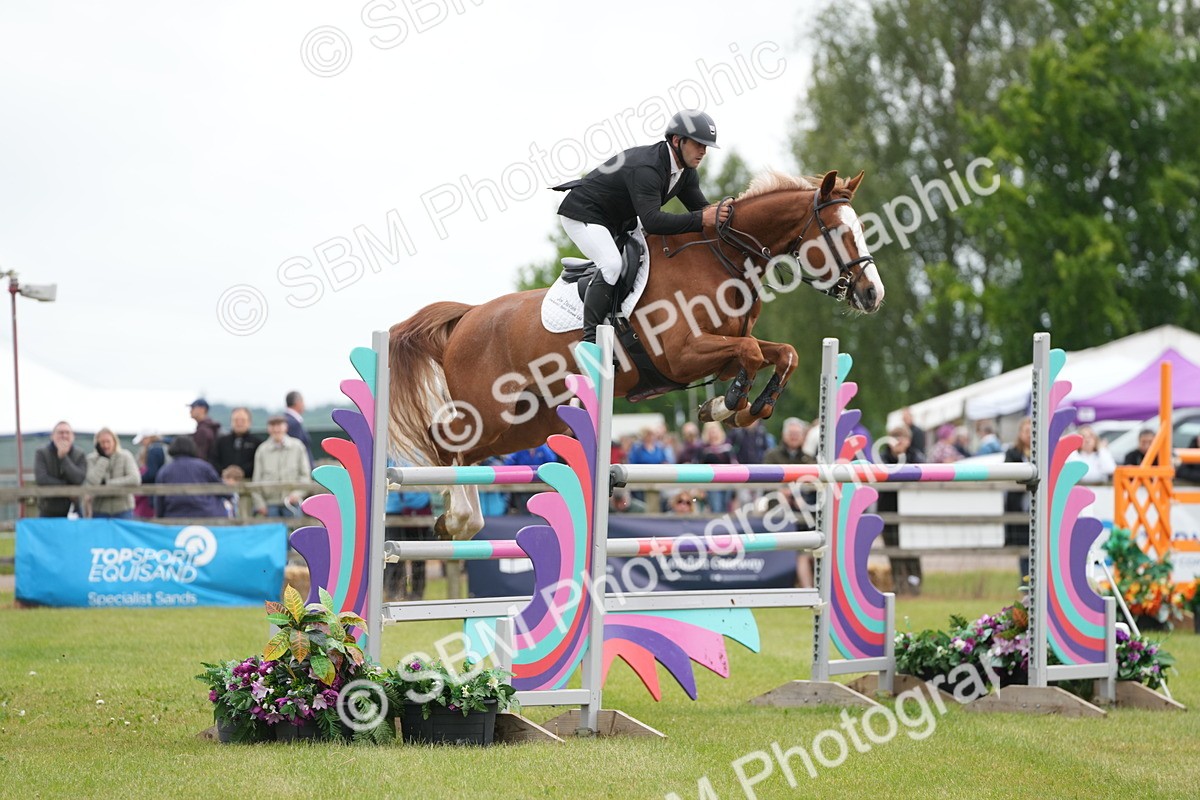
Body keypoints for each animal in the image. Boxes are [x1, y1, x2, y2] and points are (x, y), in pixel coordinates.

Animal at [388, 169, 884, 538]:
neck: (718, 258)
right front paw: (731, 403)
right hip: (488, 411)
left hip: (527, 423)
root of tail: (467, 317)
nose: (872, 294)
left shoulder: (716, 350)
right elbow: (751, 354)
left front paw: (737, 407)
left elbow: (781, 354)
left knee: (468, 454)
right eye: (839, 231)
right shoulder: (681, 356)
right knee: (444, 441)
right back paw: (457, 517)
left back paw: (459, 521)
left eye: (861, 229)